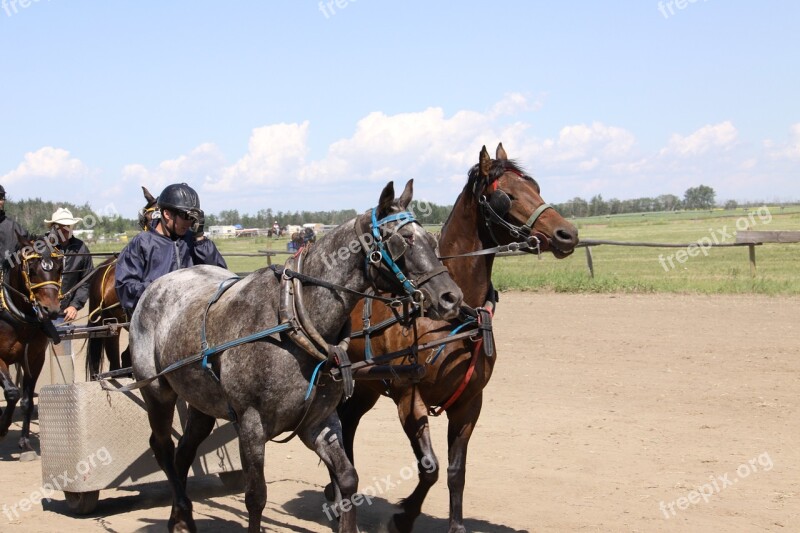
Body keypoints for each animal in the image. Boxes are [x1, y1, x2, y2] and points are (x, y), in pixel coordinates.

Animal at [0, 233, 65, 448]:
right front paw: (2, 427)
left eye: (59, 268)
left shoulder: (34, 358)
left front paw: (24, 440)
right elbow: (12, 392)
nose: (51, 310)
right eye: (32, 269)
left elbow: (26, 400)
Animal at [130, 180, 462, 532]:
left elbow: (348, 479)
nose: (452, 297)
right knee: (163, 448)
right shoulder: (251, 425)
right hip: (157, 393)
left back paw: (181, 519)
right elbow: (256, 497)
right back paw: (179, 507)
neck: (292, 322)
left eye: (430, 239)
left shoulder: (319, 422)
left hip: (201, 403)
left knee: (183, 453)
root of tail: (155, 287)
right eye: (405, 239)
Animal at [334, 143, 580, 528]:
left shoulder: (468, 404)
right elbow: (430, 468)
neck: (452, 318)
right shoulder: (409, 399)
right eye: (506, 196)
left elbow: (455, 471)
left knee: (347, 425)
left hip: (366, 388)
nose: (567, 234)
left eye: (535, 187)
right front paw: (403, 517)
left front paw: (456, 525)